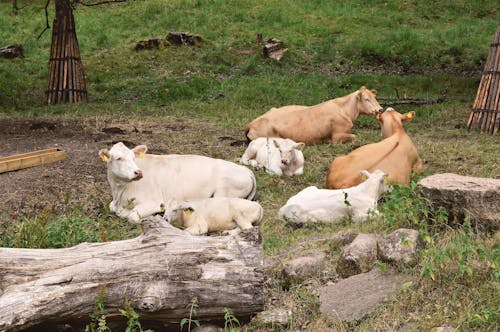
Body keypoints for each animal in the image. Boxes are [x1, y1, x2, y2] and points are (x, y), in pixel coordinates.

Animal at [98, 142, 256, 223]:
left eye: (133, 157)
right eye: (119, 158)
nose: (138, 172)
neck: (119, 192)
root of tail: (246, 170)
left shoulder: (153, 202)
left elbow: (132, 217)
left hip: (222, 193)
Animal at [245, 85, 382, 144]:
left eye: (374, 97)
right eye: (366, 99)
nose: (380, 109)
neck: (345, 110)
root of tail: (251, 123)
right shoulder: (337, 136)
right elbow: (354, 136)